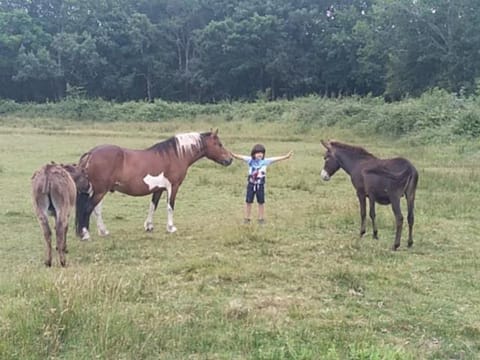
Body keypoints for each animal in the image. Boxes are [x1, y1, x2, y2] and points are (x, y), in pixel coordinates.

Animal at [75, 129, 232, 239]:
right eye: (219, 144)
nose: (229, 160)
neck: (175, 155)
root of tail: (91, 153)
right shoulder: (173, 187)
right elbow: (170, 206)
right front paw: (171, 227)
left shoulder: (158, 189)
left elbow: (153, 206)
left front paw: (149, 226)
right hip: (100, 191)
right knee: (88, 208)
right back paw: (85, 234)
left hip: (98, 191)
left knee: (96, 210)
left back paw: (103, 231)